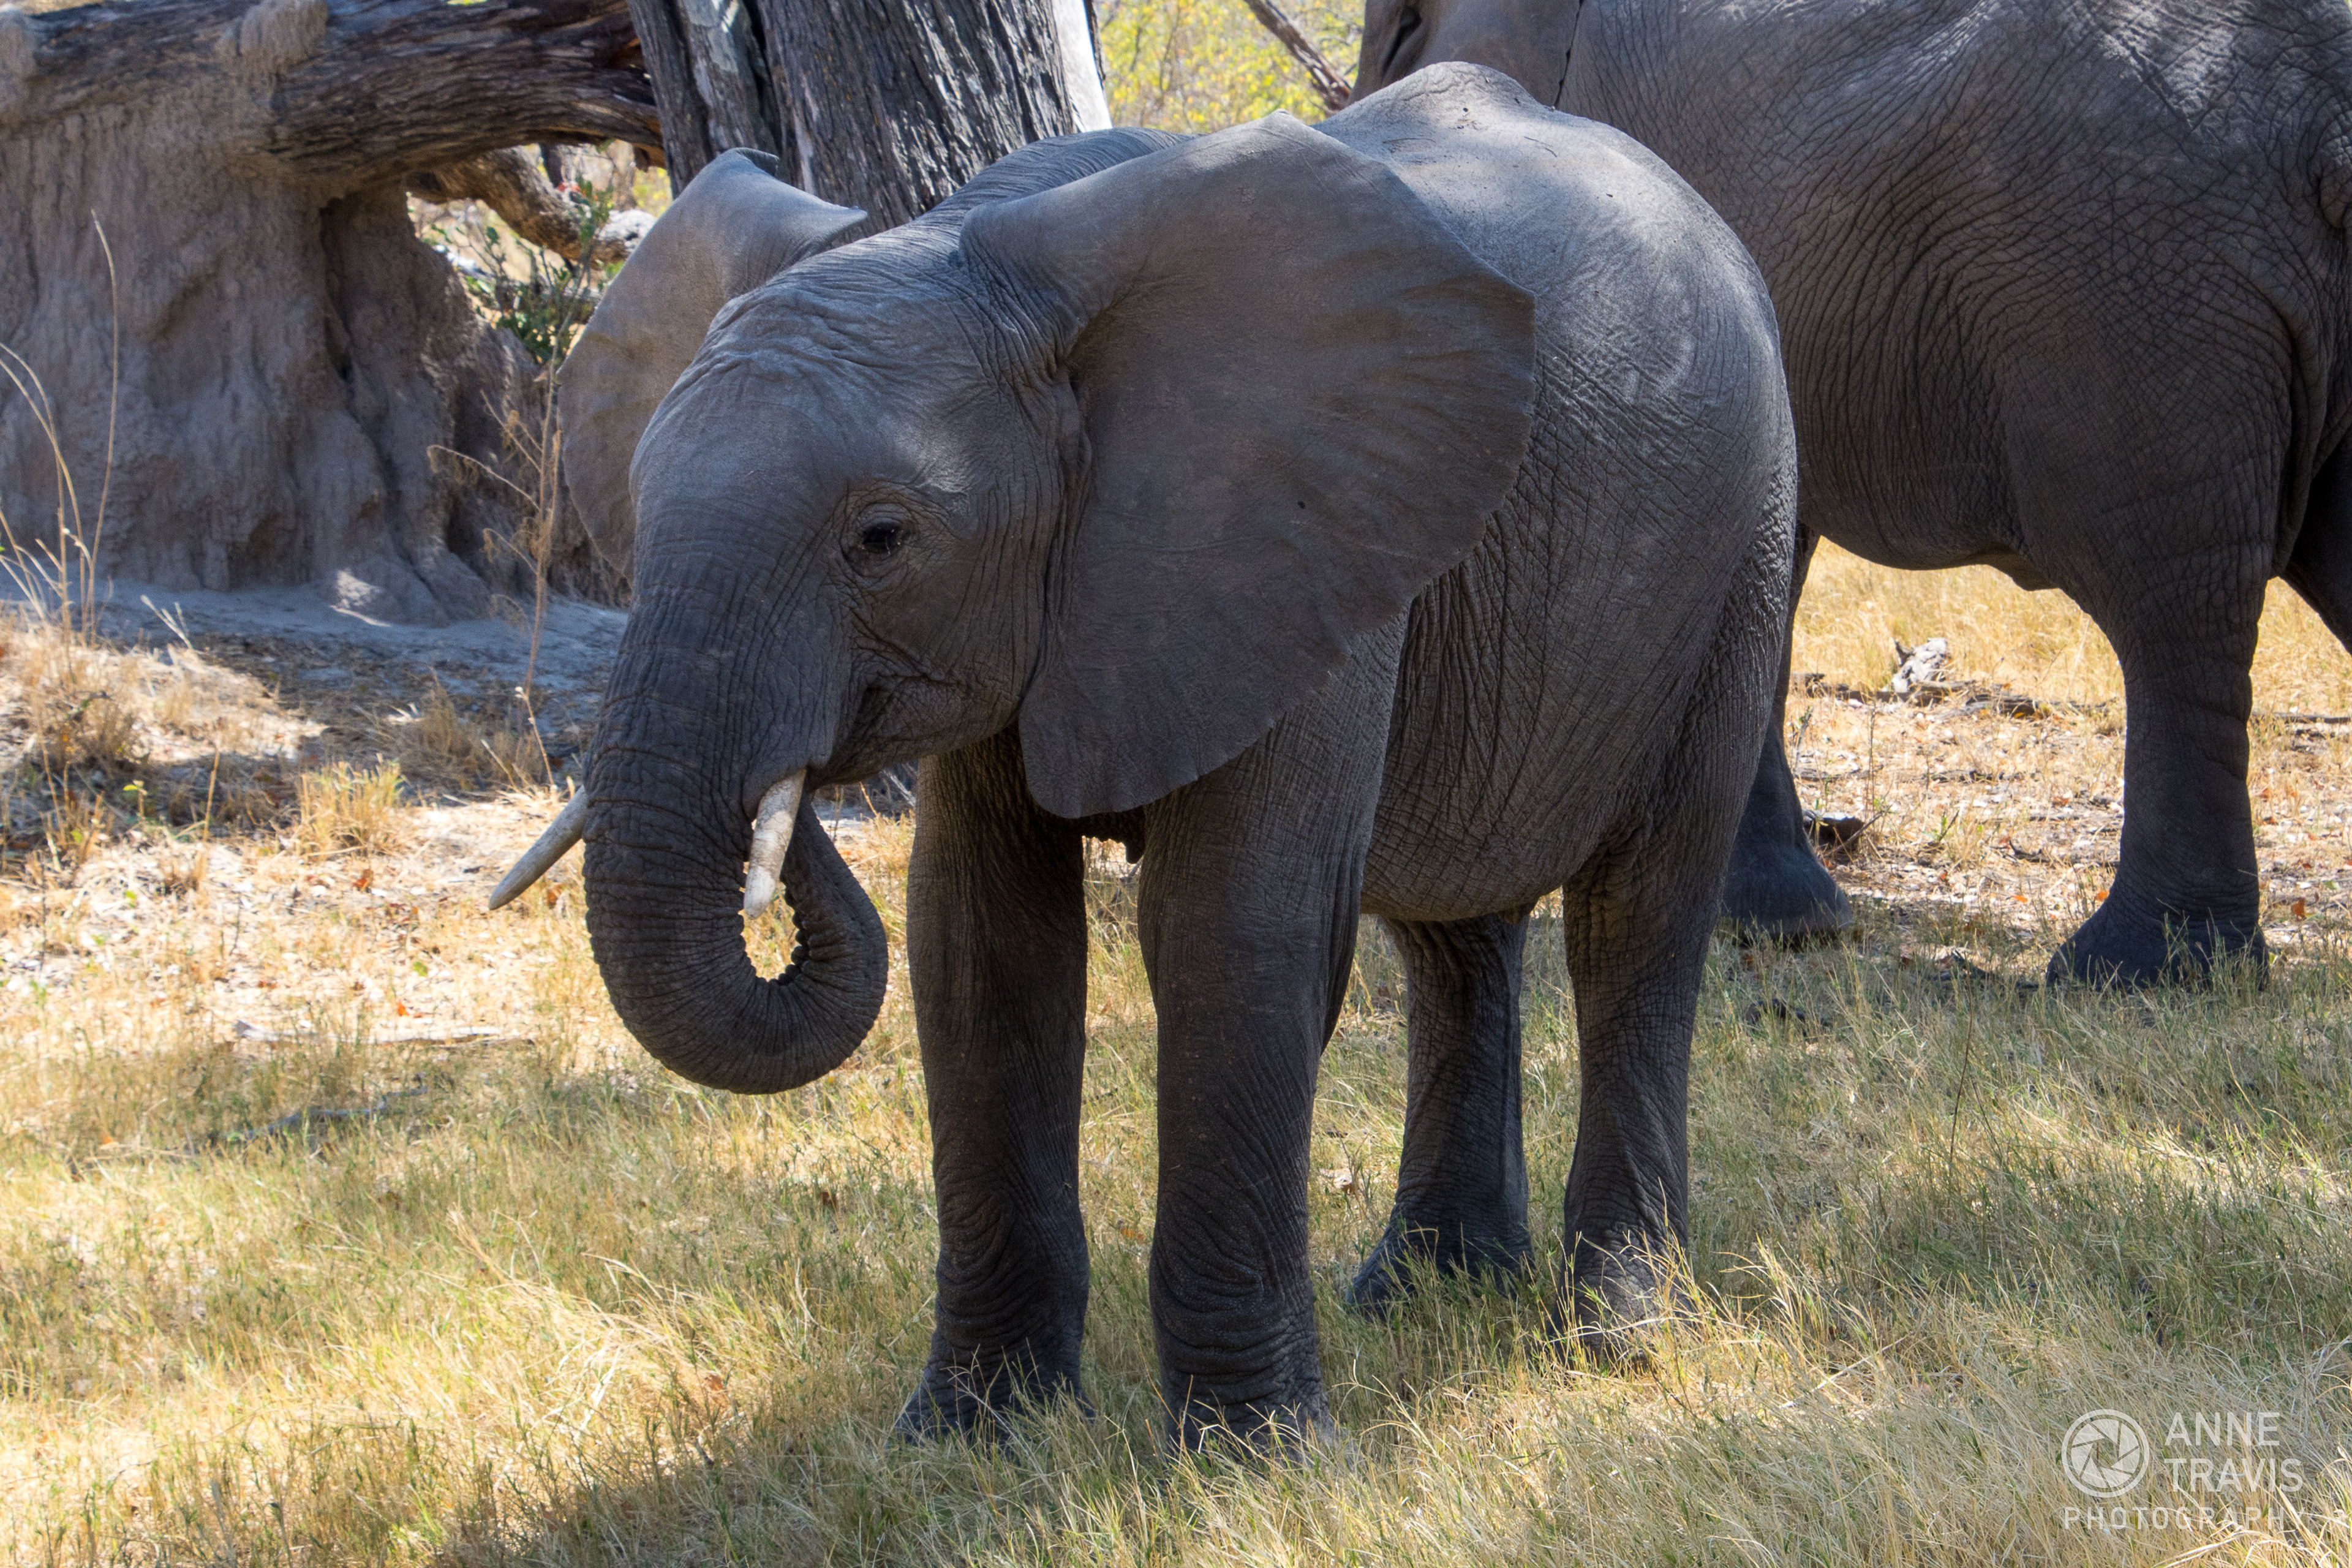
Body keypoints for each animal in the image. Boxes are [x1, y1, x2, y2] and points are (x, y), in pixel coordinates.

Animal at [497, 64, 1797, 1445]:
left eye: (883, 539)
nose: (791, 791)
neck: (978, 250)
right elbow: (979, 942)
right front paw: (970, 1435)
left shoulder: (1287, 541)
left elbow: (1234, 932)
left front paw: (1253, 1457)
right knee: (1455, 937)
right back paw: (1422, 1293)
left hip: (1746, 542)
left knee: (1635, 920)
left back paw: (1616, 1335)